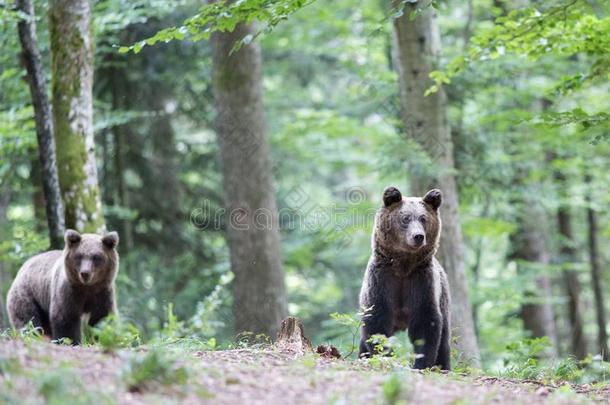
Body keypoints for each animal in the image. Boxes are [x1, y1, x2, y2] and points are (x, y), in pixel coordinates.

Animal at [358, 186, 448, 370]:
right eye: (405, 218)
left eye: (423, 218)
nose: (418, 236)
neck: (403, 266)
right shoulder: (382, 280)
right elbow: (376, 320)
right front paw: (385, 356)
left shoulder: (421, 281)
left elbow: (426, 322)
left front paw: (421, 363)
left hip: (443, 297)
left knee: (444, 341)